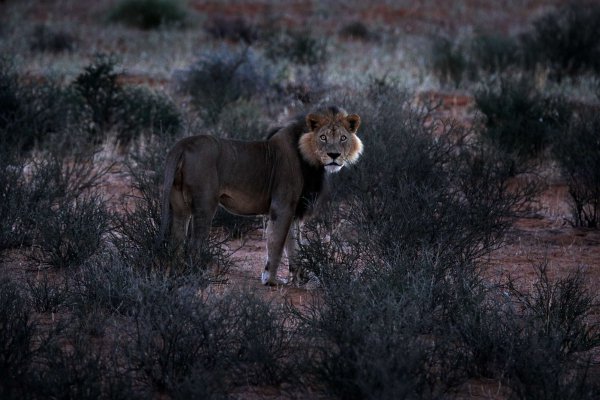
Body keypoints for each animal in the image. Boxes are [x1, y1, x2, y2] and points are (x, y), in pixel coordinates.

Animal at [157, 105, 364, 284]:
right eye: (323, 137)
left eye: (343, 138)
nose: (334, 155)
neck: (310, 160)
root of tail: (182, 145)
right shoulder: (282, 206)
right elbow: (277, 243)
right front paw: (271, 280)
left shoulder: (295, 211)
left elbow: (294, 246)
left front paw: (299, 279)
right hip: (205, 205)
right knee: (194, 244)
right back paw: (199, 274)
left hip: (178, 205)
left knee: (175, 241)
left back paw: (176, 271)